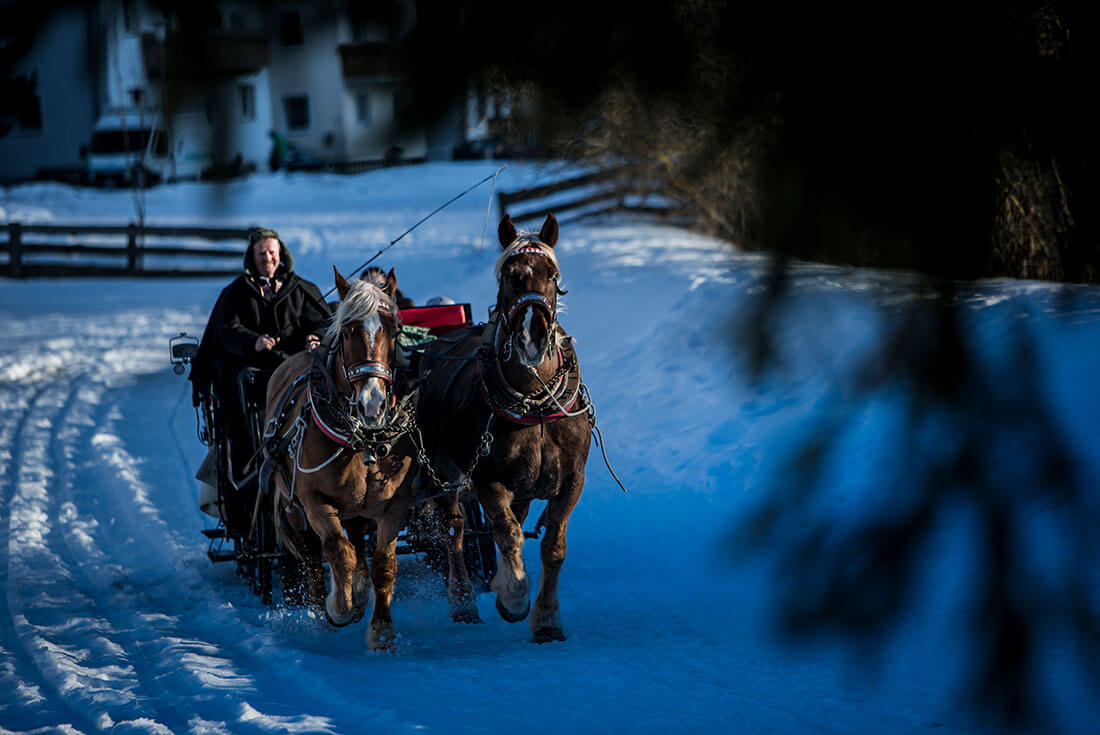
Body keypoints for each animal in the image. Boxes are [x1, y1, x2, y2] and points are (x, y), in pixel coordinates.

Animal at [261, 267, 417, 650]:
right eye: (347, 332)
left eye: (394, 330)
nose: (372, 403)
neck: (360, 441)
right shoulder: (314, 502)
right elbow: (339, 552)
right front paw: (341, 606)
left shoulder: (396, 503)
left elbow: (383, 564)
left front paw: (381, 631)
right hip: (292, 506)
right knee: (312, 555)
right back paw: (324, 610)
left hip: (359, 507)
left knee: (358, 538)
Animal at [416, 213, 591, 643]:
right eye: (509, 276)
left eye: (552, 274)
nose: (532, 335)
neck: (535, 401)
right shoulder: (488, 480)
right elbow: (507, 533)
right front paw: (513, 597)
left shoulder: (572, 479)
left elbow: (553, 546)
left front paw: (547, 619)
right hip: (444, 475)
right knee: (455, 531)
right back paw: (463, 601)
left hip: (523, 485)